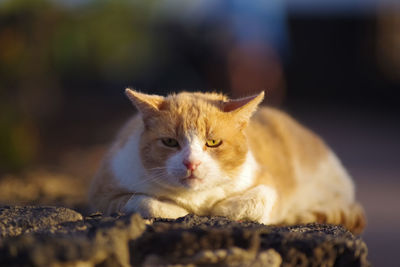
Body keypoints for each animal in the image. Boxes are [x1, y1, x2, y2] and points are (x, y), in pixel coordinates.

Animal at [90, 89, 366, 234]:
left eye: (212, 142)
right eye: (170, 142)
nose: (191, 163)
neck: (197, 197)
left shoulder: (267, 181)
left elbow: (260, 199)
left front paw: (218, 209)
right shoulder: (104, 194)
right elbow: (144, 202)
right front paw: (178, 210)